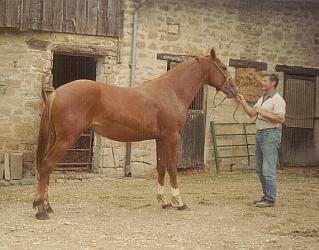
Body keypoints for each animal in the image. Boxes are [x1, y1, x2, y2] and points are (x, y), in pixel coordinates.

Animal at [33, 48, 238, 219]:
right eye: (224, 67)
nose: (234, 90)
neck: (171, 91)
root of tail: (56, 93)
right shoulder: (172, 137)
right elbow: (172, 167)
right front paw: (179, 202)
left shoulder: (160, 138)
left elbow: (161, 167)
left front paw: (163, 201)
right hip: (66, 138)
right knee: (47, 164)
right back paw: (40, 209)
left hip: (56, 138)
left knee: (47, 167)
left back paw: (47, 206)